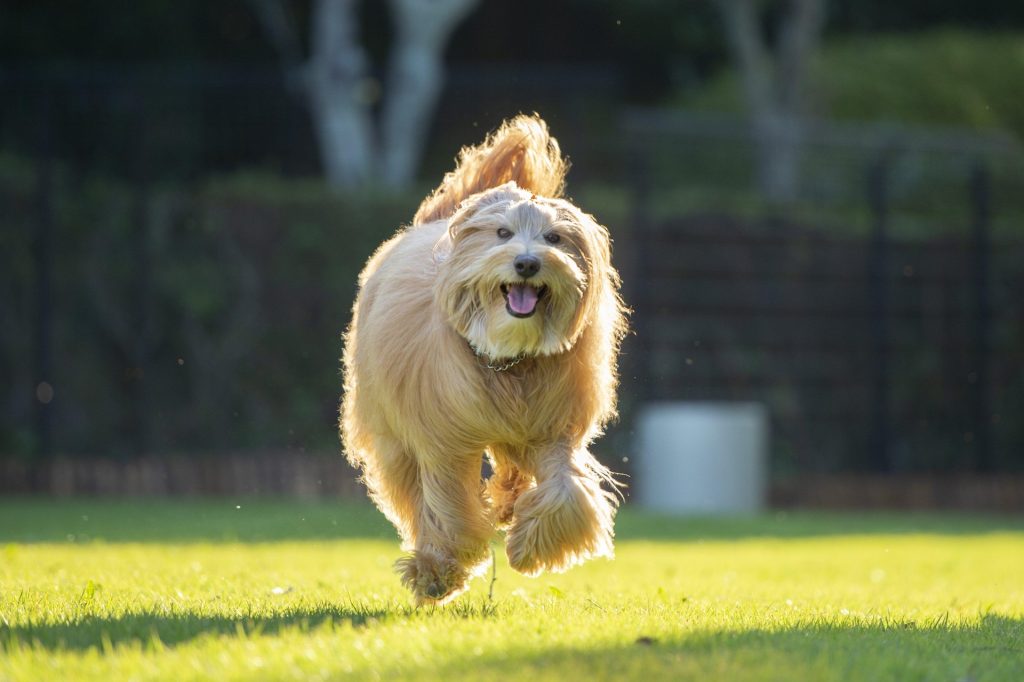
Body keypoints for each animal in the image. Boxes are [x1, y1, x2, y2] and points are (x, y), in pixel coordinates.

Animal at [339, 115, 626, 602]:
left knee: (511, 466)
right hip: (392, 433)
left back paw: (509, 501)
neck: (507, 360)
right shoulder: (440, 441)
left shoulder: (552, 428)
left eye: (555, 238)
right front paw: (440, 570)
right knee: (411, 492)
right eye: (502, 234)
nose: (528, 263)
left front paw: (529, 547)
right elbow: (448, 506)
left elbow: (568, 491)